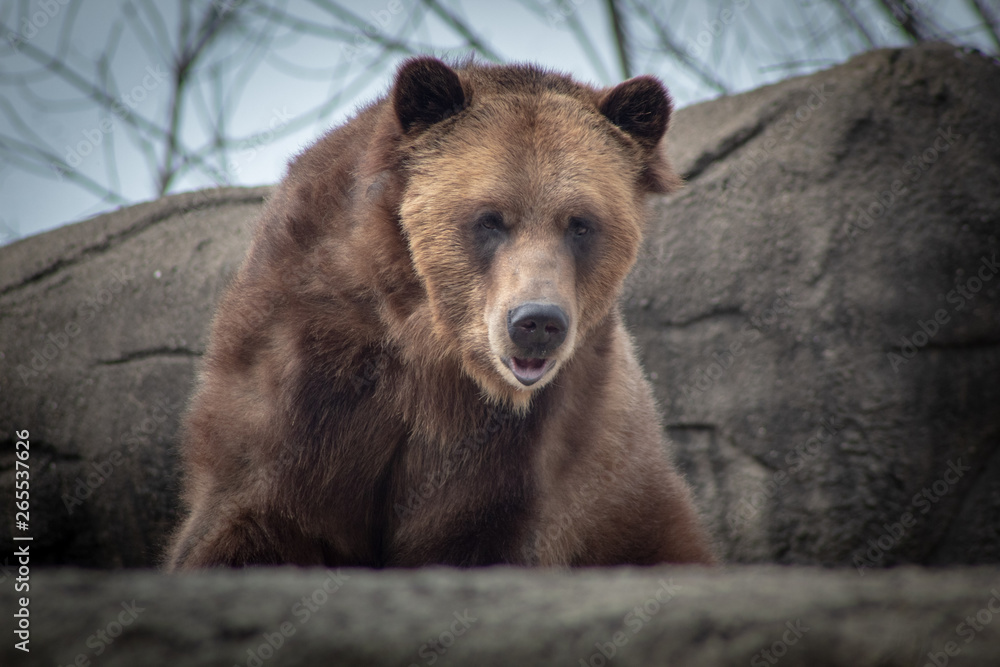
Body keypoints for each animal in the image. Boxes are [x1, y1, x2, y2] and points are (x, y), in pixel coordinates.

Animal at [164, 56, 716, 569]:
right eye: (490, 219)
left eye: (580, 223)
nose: (537, 323)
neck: (428, 340)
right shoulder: (304, 362)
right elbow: (251, 512)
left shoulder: (526, 445)